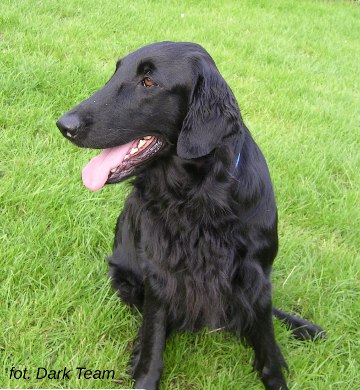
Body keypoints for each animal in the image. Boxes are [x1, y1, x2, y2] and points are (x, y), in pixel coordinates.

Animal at [57, 42, 326, 390]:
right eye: (116, 73)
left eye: (148, 82)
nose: (65, 125)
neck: (197, 197)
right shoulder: (160, 275)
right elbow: (153, 344)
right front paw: (143, 368)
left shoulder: (255, 274)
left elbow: (265, 342)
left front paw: (276, 367)